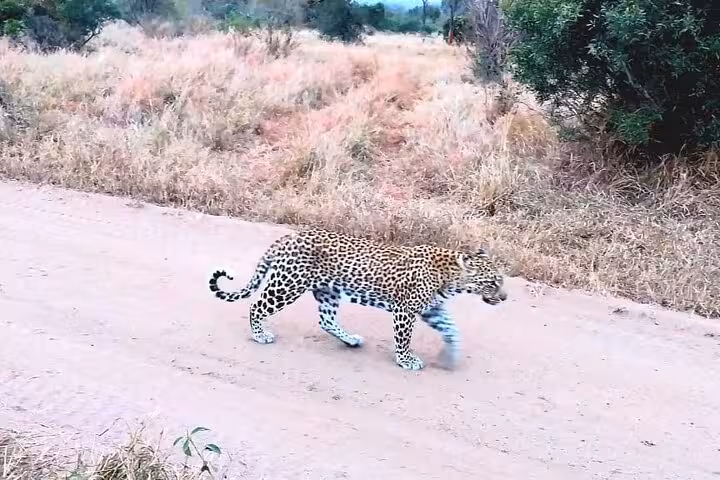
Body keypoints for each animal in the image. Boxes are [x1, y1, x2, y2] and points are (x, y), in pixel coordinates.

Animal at [208, 228, 508, 371]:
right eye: (493, 282)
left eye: (502, 280)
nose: (505, 297)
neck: (451, 278)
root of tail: (287, 237)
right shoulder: (406, 310)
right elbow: (404, 339)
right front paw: (406, 361)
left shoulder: (432, 309)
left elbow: (452, 330)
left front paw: (451, 357)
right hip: (288, 284)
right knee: (257, 305)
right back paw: (260, 334)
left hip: (328, 292)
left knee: (326, 321)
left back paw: (350, 340)